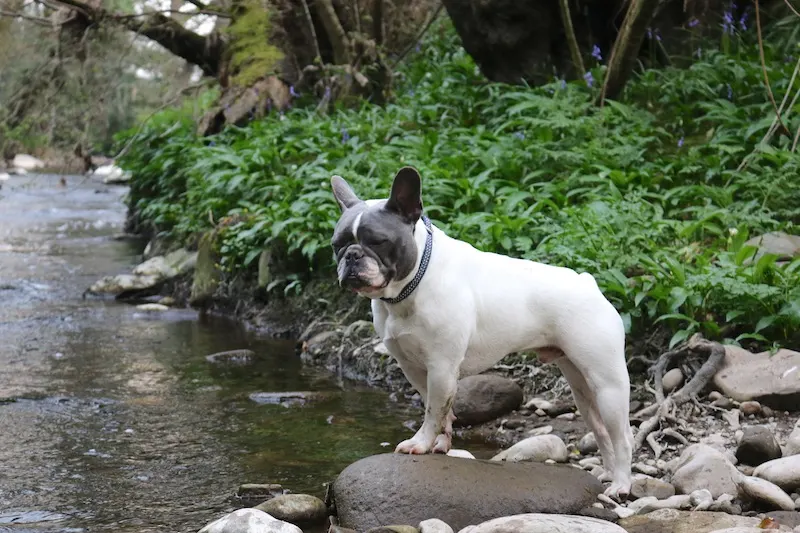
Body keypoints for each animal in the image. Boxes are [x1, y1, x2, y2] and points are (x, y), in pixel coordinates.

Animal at [328, 166, 636, 498]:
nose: (351, 255)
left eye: (378, 242)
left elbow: (433, 410)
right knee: (601, 430)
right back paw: (608, 474)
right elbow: (439, 409)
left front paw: (420, 443)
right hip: (581, 383)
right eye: (336, 245)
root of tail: (587, 282)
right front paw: (440, 443)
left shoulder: (442, 366)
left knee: (623, 436)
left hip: (608, 383)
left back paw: (621, 485)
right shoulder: (414, 368)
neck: (413, 284)